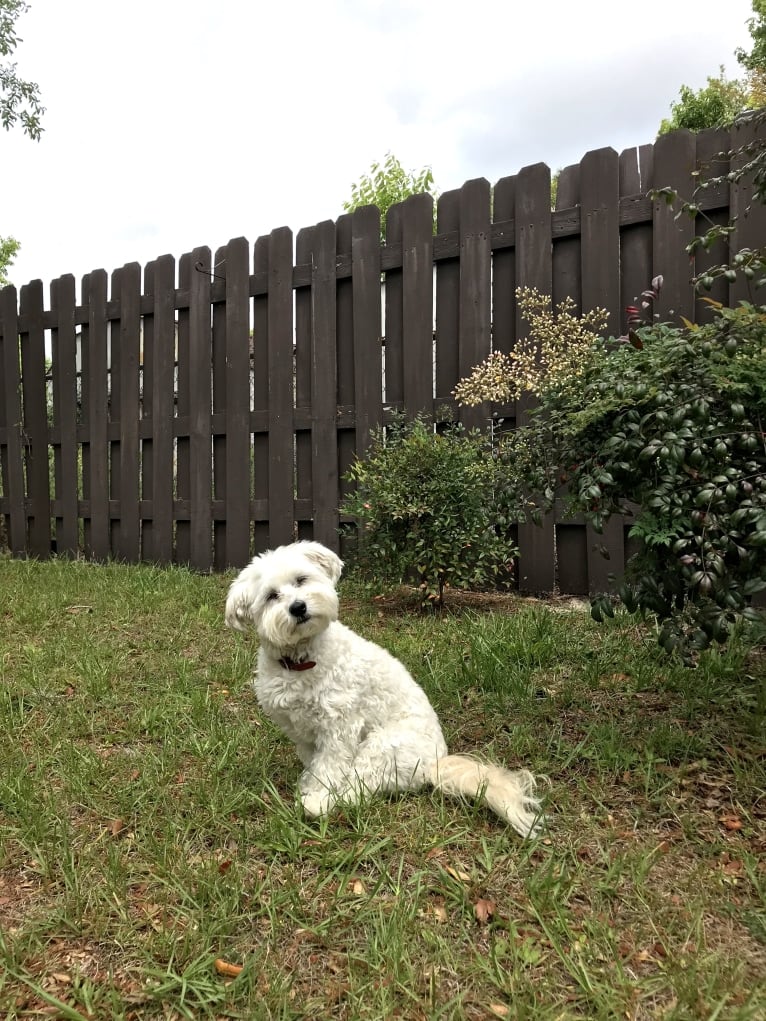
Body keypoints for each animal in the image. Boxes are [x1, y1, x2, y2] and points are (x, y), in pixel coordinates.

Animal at [224, 543, 543, 837]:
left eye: (301, 580)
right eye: (271, 596)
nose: (298, 607)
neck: (302, 661)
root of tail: (435, 764)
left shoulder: (339, 729)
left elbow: (329, 768)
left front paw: (316, 793)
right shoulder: (300, 733)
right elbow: (314, 763)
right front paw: (308, 783)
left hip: (381, 746)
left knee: (356, 792)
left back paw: (319, 806)